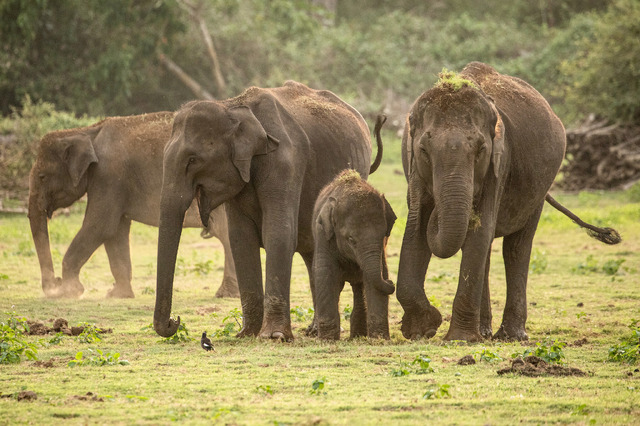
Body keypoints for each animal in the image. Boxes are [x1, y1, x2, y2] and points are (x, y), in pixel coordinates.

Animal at [27, 113, 238, 300]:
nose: (55, 282)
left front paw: (69, 292)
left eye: (42, 177)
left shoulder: (109, 176)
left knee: (225, 233)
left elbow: (100, 226)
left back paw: (225, 294)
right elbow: (115, 231)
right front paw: (118, 295)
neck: (85, 132)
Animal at [154, 80, 372, 340]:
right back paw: (313, 331)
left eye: (192, 160)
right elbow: (240, 239)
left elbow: (277, 233)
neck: (232, 106)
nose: (175, 321)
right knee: (312, 252)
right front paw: (246, 334)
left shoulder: (286, 161)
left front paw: (274, 336)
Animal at [312, 170, 396, 340]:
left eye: (384, 235)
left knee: (359, 286)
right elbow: (325, 274)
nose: (391, 282)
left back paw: (357, 336)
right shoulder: (323, 234)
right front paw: (328, 340)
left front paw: (380, 339)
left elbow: (376, 276)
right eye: (351, 239)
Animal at [396, 62, 620, 342]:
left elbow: (479, 231)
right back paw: (485, 331)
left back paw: (511, 336)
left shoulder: (498, 166)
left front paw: (459, 338)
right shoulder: (414, 171)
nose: (436, 209)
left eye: (481, 150)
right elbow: (415, 227)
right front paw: (422, 329)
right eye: (424, 150)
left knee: (516, 247)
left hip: (539, 189)